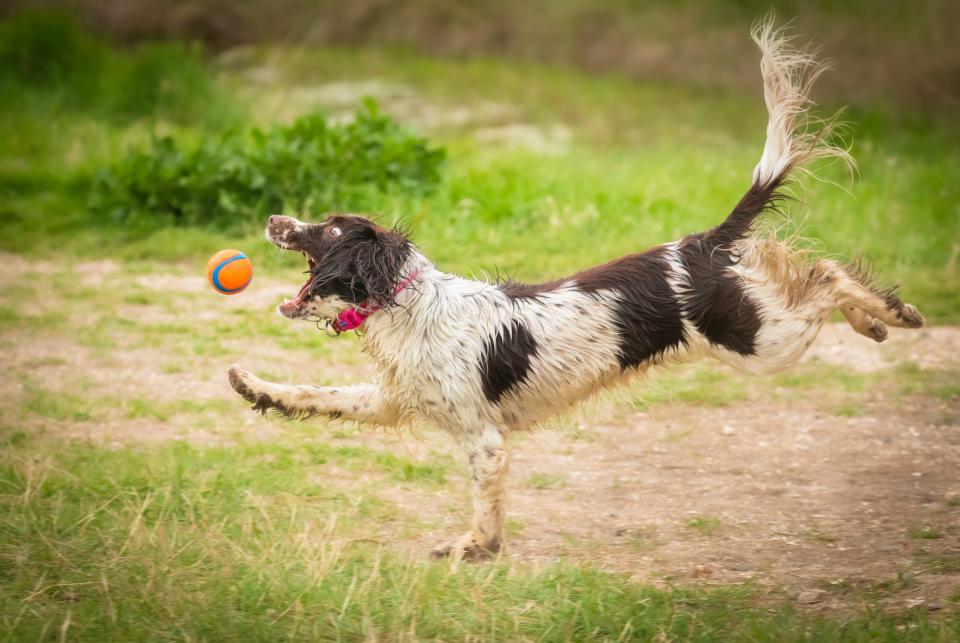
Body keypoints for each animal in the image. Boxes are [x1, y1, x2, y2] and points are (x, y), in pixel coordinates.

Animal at [225, 22, 924, 560]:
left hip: (760, 341)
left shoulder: (483, 438)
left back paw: (890, 314)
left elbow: (484, 505)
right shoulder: (395, 400)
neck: (410, 306)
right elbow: (316, 395)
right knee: (818, 273)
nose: (275, 220)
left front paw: (473, 547)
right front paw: (252, 386)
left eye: (328, 229)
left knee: (828, 274)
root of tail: (702, 242)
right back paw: (876, 321)